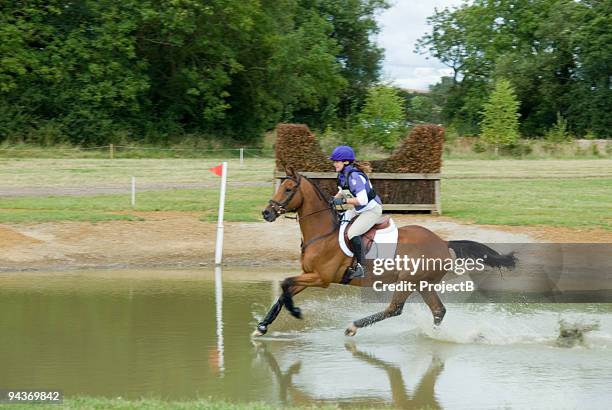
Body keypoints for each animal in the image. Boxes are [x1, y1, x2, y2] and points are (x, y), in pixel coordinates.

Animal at [253, 168, 516, 338]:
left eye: (288, 189)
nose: (266, 213)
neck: (323, 233)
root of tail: (442, 242)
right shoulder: (309, 275)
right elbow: (284, 292)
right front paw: (262, 327)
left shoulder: (321, 278)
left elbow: (285, 284)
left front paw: (295, 312)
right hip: (422, 284)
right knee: (438, 311)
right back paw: (434, 335)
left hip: (408, 281)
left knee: (395, 309)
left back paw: (354, 327)